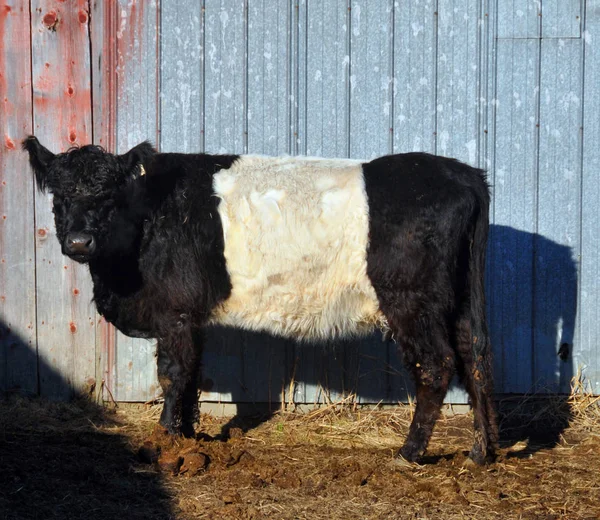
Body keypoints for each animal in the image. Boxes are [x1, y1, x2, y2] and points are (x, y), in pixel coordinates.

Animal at [23, 136, 500, 466]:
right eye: (59, 196)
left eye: (107, 196)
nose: (79, 242)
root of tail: (465, 175)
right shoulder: (192, 315)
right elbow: (192, 374)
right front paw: (190, 436)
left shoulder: (175, 310)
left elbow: (172, 374)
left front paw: (165, 440)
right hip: (460, 300)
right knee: (476, 356)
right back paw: (481, 452)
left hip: (412, 299)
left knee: (437, 365)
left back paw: (409, 453)